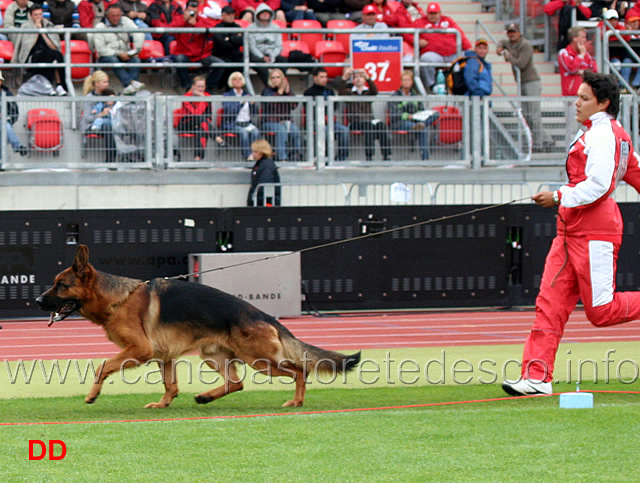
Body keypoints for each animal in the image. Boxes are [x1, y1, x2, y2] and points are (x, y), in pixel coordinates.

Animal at [36, 246, 360, 408]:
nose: (38, 300)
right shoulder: (163, 357)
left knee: (299, 370)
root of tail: (266, 316)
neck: (118, 298)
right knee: (237, 383)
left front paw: (92, 395)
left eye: (61, 285)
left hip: (259, 360)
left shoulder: (139, 349)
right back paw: (205, 397)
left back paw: (296, 401)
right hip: (215, 357)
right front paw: (163, 404)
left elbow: (102, 366)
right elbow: (171, 385)